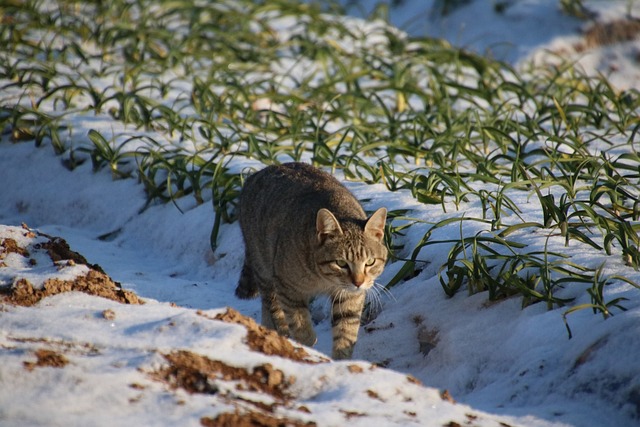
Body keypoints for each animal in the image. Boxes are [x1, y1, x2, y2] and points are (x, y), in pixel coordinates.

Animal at [234, 162, 384, 360]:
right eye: (341, 263)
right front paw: (306, 345)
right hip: (263, 267)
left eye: (370, 262)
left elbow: (346, 332)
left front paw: (340, 359)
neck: (323, 279)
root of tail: (257, 173)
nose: (358, 282)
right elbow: (299, 322)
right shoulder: (287, 287)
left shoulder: (349, 297)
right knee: (272, 305)